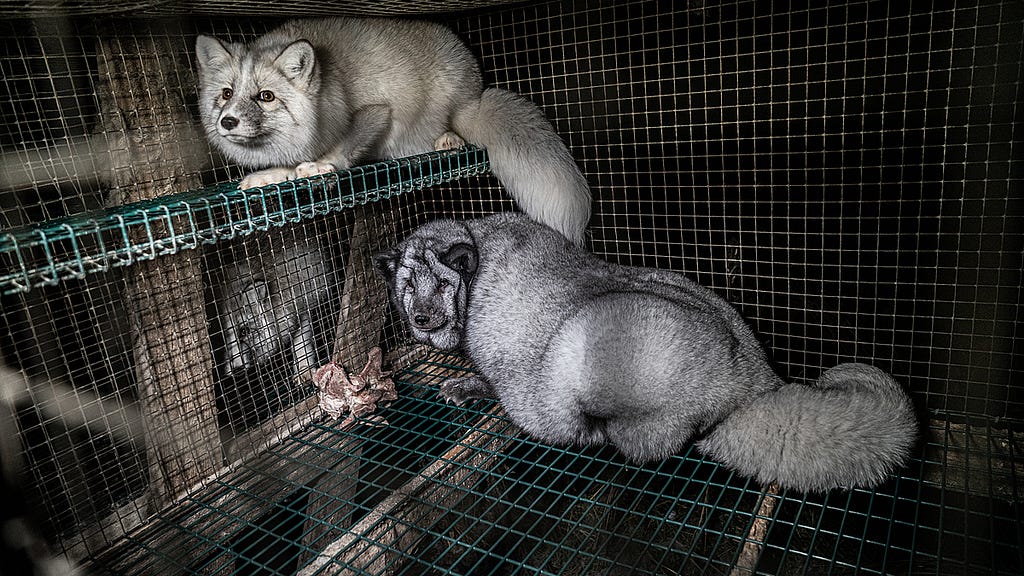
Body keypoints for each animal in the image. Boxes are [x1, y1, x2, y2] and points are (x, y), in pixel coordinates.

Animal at [195, 17, 593, 241]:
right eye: (227, 94)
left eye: (266, 96)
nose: (227, 121)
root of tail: (475, 94)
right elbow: (288, 167)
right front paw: (272, 174)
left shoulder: (376, 111)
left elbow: (342, 147)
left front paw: (322, 164)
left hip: (447, 105)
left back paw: (448, 138)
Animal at [376, 213, 921, 491]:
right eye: (408, 285)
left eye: (440, 284)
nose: (421, 317)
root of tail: (753, 381)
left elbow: (487, 378)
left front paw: (465, 385)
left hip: (591, 346)